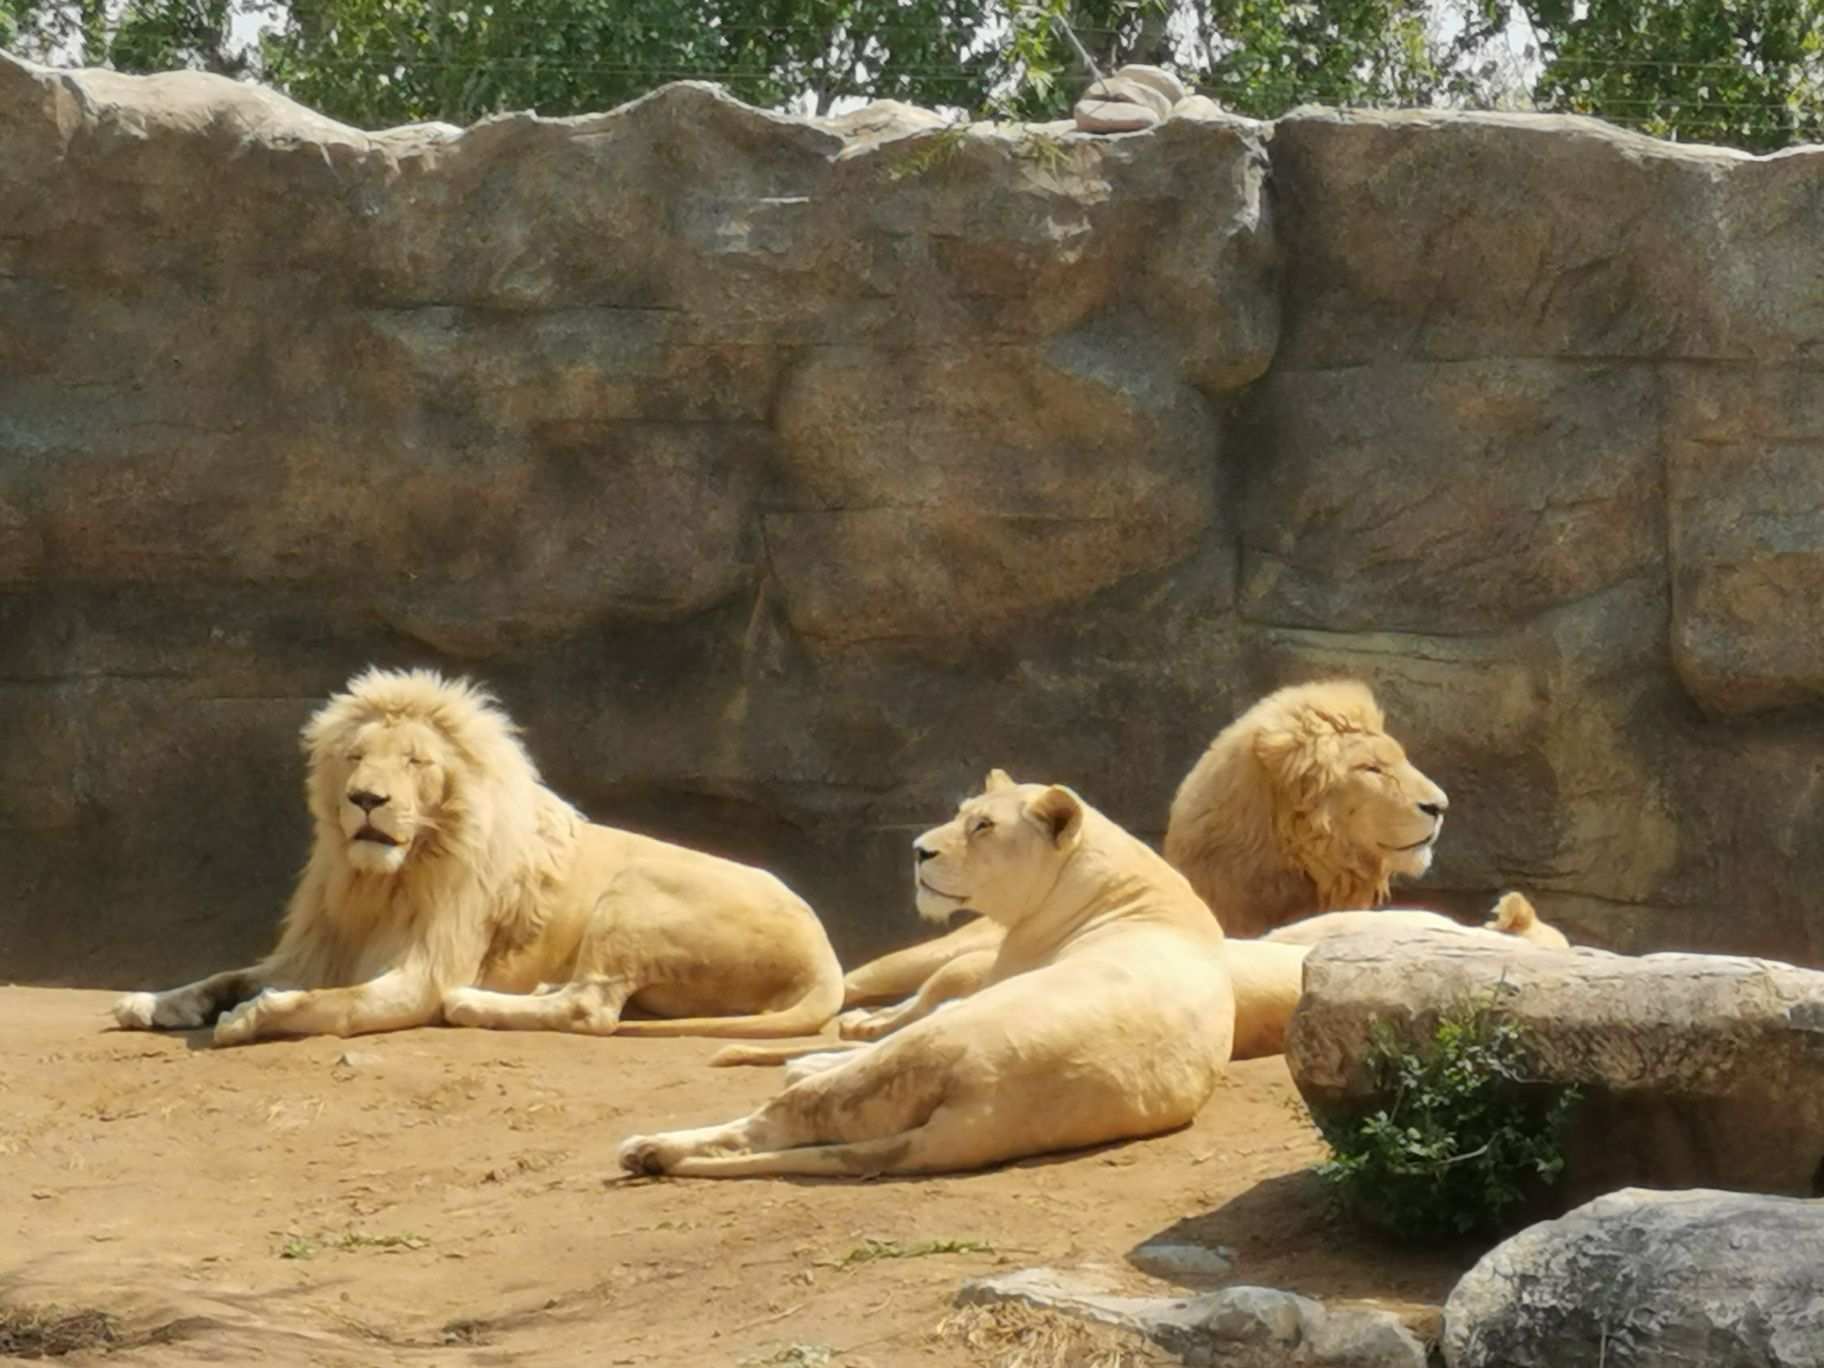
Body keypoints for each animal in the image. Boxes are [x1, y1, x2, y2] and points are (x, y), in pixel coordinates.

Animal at [117, 671, 842, 1043]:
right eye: (355, 756)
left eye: (415, 761)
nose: (366, 799)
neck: (380, 883)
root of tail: (824, 954)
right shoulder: (315, 947)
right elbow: (226, 974)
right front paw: (150, 1001)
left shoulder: (422, 972)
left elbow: (331, 1003)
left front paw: (249, 1017)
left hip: (635, 894)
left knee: (592, 1010)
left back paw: (473, 1004)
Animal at [620, 773, 1233, 1181]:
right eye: (963, 813)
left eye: (983, 826)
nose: (918, 851)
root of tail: (982, 1112)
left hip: (918, 1053)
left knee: (778, 1118)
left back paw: (651, 1148)